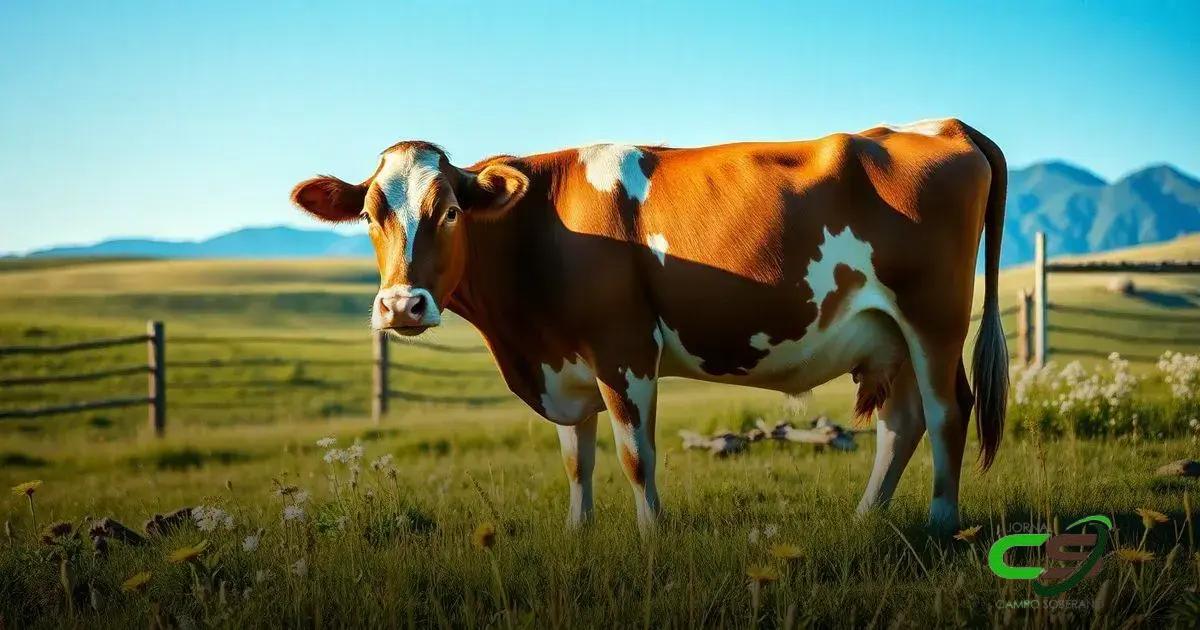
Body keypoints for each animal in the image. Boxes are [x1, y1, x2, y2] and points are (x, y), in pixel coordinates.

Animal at [291, 118, 1008, 533]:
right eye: (371, 214)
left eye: (448, 211)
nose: (401, 306)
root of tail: (942, 126)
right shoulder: (563, 361)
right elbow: (576, 460)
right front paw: (577, 536)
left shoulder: (623, 347)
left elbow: (636, 455)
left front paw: (650, 538)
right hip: (889, 335)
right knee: (902, 423)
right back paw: (866, 519)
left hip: (933, 317)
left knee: (948, 412)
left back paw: (942, 525)